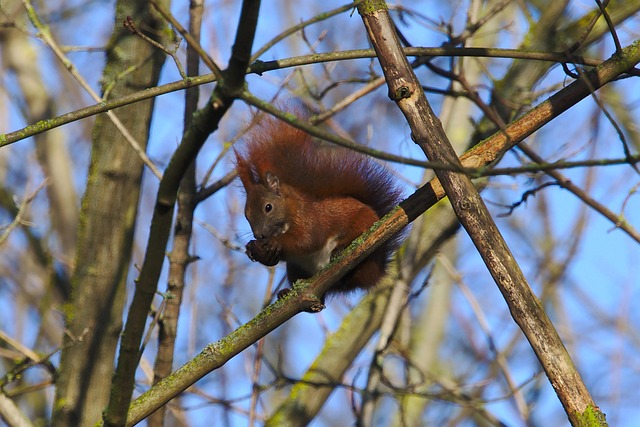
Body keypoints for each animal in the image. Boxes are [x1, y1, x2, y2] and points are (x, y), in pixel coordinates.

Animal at [235, 115, 403, 297]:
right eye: (247, 215)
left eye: (268, 207)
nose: (259, 235)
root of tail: (377, 271)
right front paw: (253, 249)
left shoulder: (310, 219)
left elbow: (307, 239)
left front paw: (275, 243)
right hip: (295, 269)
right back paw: (289, 293)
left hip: (364, 227)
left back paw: (342, 248)